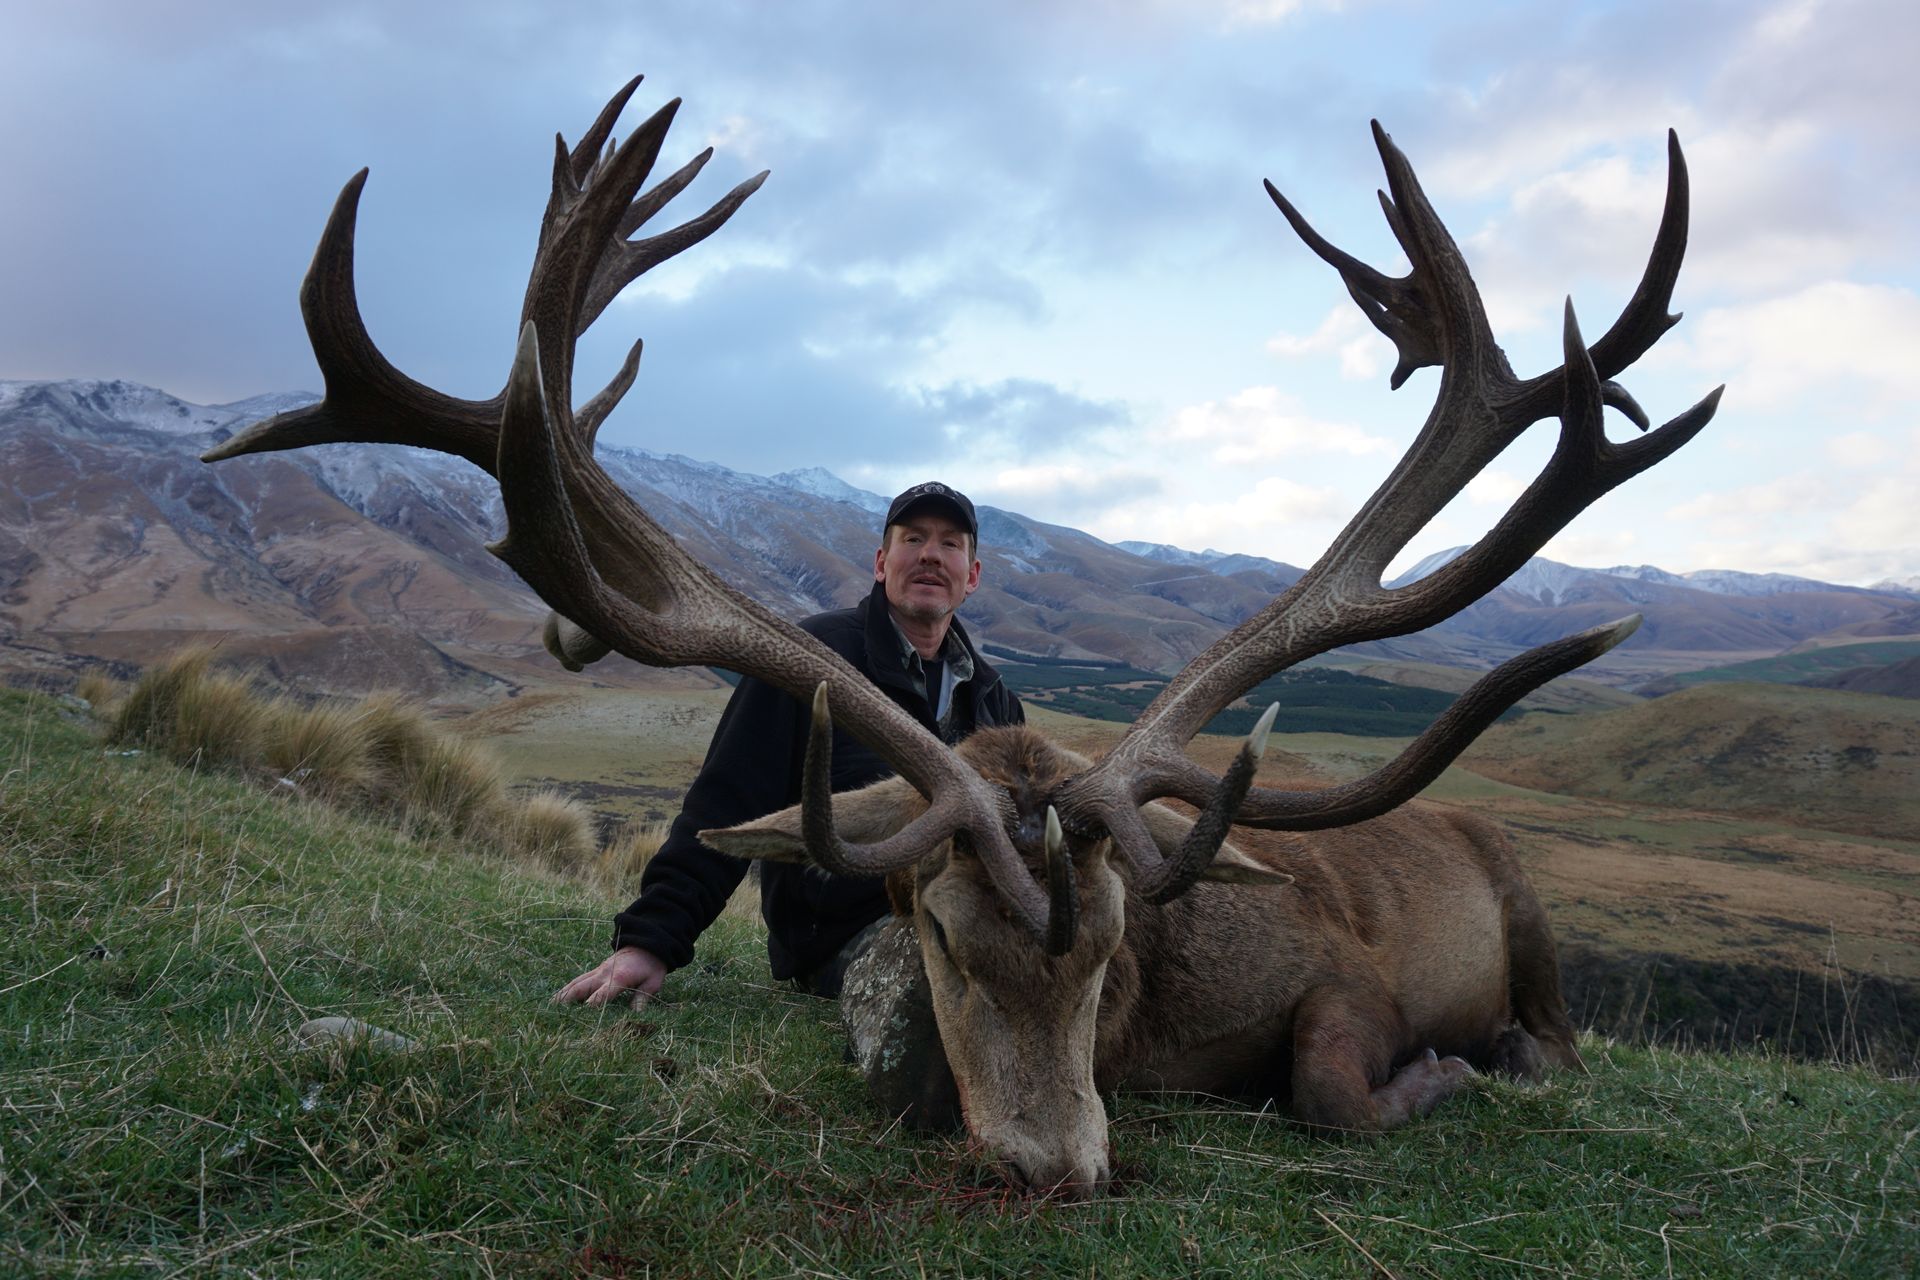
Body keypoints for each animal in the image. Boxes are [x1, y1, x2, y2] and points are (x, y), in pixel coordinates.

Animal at [204, 77, 1721, 1198]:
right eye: (928, 924)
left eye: (1111, 939)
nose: (1053, 1164)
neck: (1154, 1020)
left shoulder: (1345, 973)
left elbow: (1332, 1092)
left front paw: (1444, 1068)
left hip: (1528, 902)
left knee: (1563, 1040)